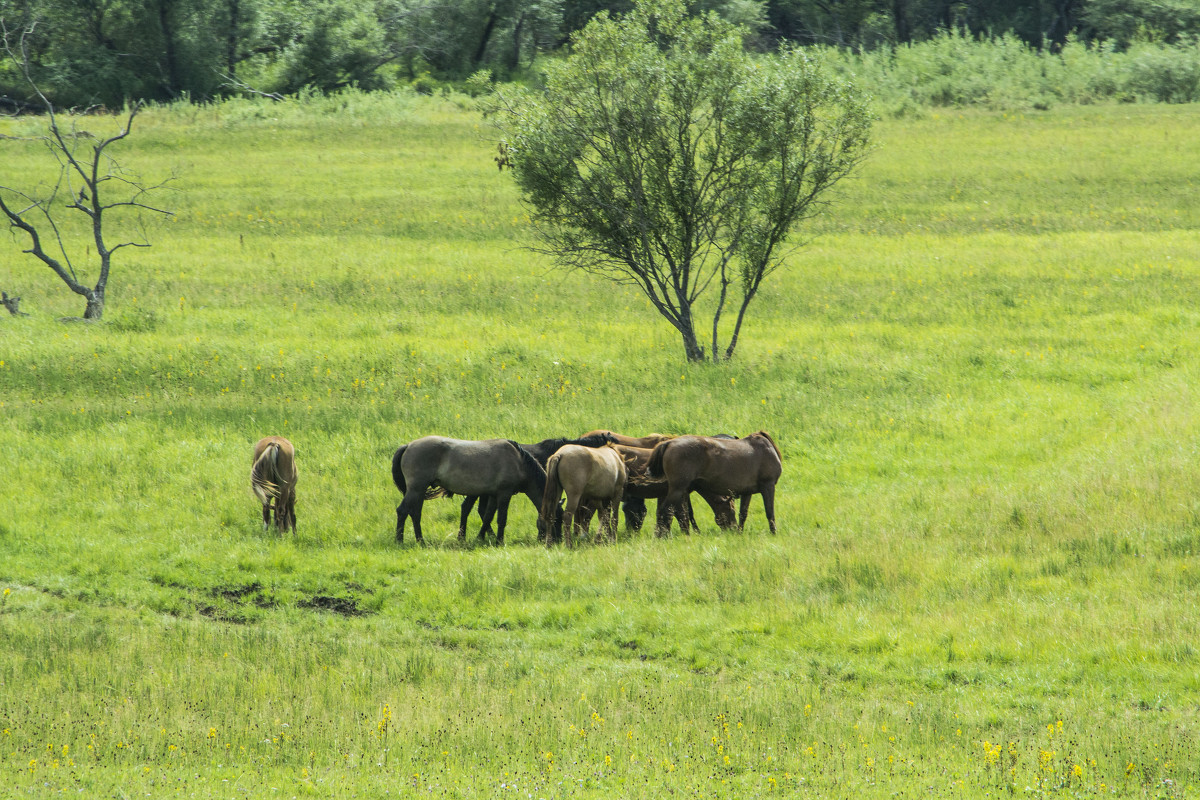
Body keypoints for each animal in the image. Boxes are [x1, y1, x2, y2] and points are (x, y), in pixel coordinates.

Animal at [391, 434, 547, 546]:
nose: (545, 541)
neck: (519, 462)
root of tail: (408, 446)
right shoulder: (504, 494)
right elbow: (501, 519)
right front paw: (499, 541)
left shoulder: (493, 495)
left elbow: (487, 517)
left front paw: (480, 538)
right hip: (416, 489)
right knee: (402, 511)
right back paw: (399, 540)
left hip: (419, 491)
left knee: (415, 514)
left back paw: (420, 540)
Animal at [643, 431, 782, 537]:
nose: (731, 529)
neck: (765, 448)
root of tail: (669, 443)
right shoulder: (768, 486)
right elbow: (770, 512)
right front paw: (773, 533)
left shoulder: (747, 492)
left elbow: (743, 514)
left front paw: (740, 533)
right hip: (677, 489)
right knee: (666, 511)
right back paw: (662, 536)